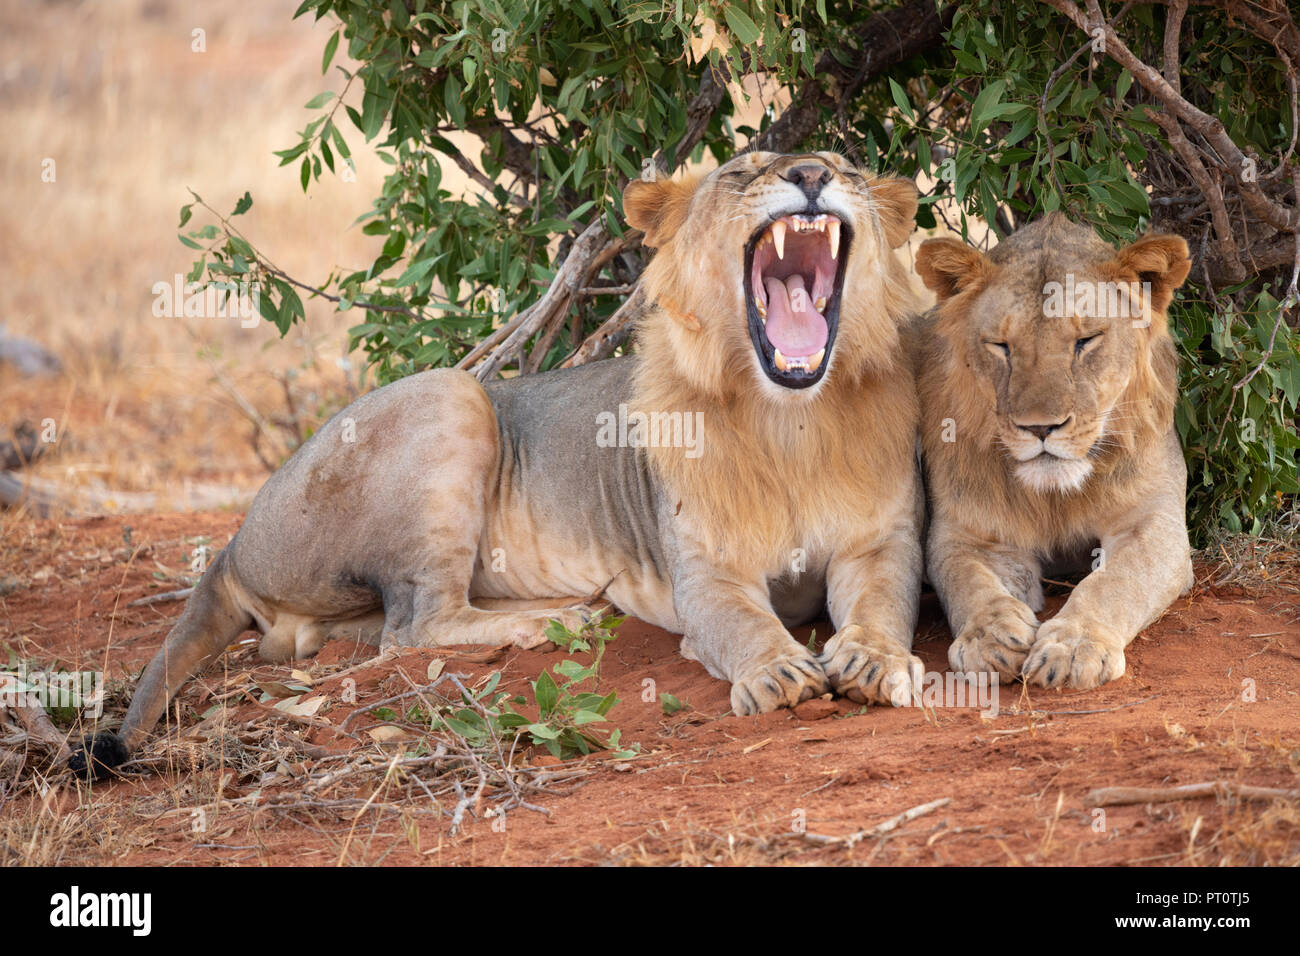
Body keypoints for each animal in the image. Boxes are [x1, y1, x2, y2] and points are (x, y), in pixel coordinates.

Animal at [73, 149, 925, 780]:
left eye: (842, 165)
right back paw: (561, 617)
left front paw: (875, 661)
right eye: (742, 172)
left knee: (343, 636)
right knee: (416, 626)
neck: (790, 422)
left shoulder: (880, 544)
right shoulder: (707, 574)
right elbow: (743, 624)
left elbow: (882, 604)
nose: (810, 176)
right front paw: (778, 674)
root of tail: (234, 541)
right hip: (453, 397)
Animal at [909, 217, 1190, 691]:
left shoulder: (1154, 520)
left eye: (1085, 341)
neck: (1054, 496)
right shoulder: (969, 534)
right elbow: (968, 579)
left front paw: (1075, 646)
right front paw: (989, 637)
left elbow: (1115, 581)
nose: (1040, 428)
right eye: (1001, 346)